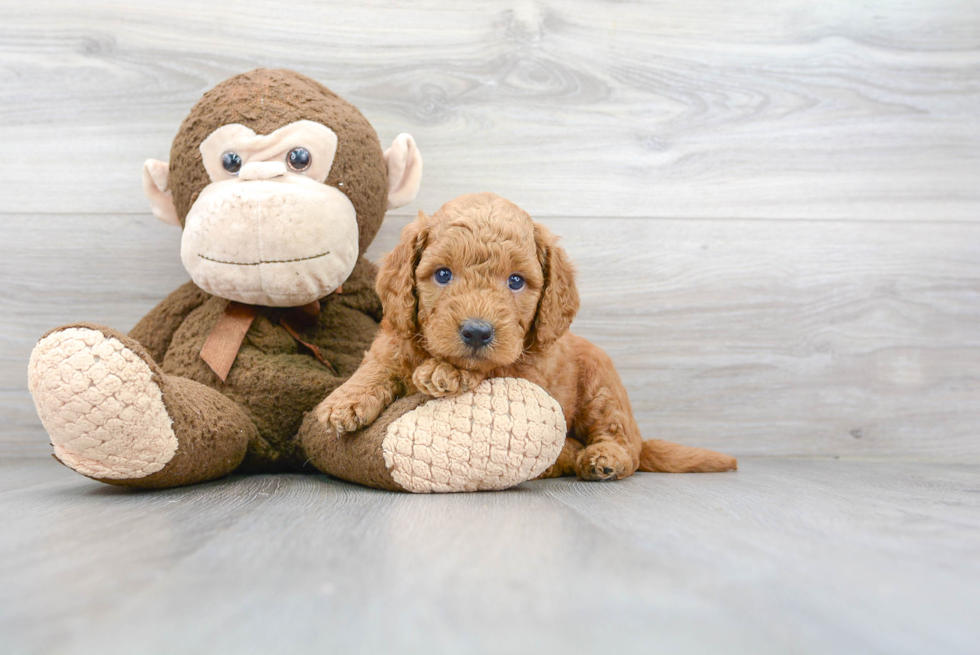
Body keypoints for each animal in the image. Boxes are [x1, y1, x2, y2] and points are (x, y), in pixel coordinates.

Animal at [314, 192, 736, 480]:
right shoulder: (395, 339)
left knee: (624, 444)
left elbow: (491, 368)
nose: (477, 332)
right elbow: (378, 364)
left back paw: (602, 459)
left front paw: (446, 372)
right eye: (443, 274)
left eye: (516, 281)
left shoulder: (528, 373)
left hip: (603, 391)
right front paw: (341, 402)